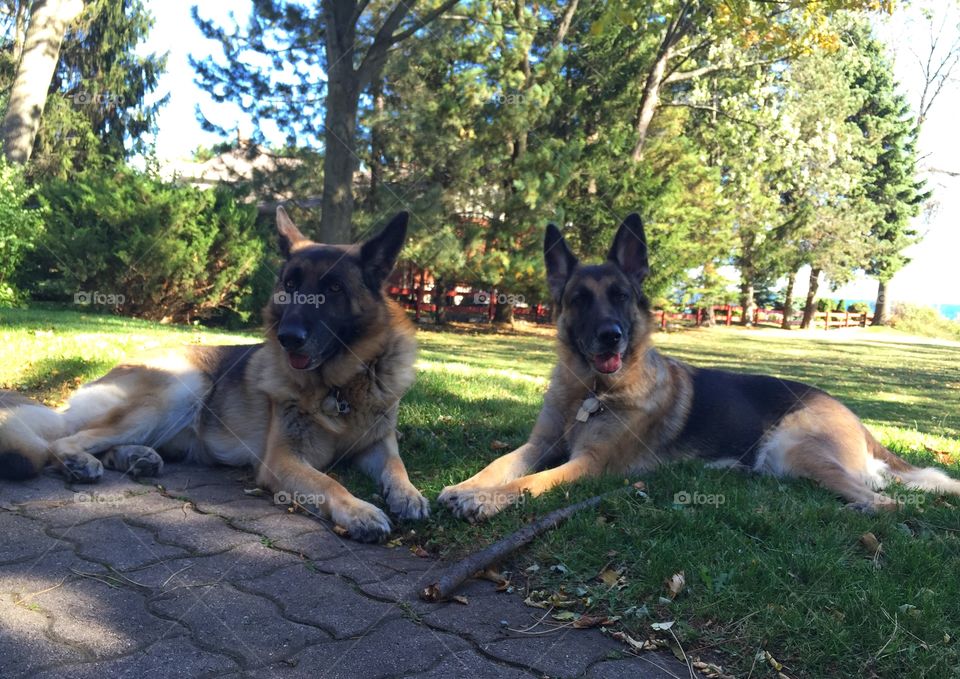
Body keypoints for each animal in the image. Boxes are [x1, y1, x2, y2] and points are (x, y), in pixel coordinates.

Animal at [0, 210, 428, 544]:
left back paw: (136, 457)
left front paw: (408, 495)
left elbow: (397, 466)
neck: (340, 386)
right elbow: (329, 482)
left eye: (334, 288)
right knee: (64, 440)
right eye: (290, 285)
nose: (287, 337)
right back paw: (80, 461)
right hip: (184, 386)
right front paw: (360, 511)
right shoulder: (283, 459)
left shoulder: (378, 442)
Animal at [440, 216, 960, 520]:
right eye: (580, 299)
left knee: (884, 501)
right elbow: (501, 464)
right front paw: (467, 486)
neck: (591, 392)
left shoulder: (589, 464)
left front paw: (484, 500)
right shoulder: (541, 444)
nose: (611, 335)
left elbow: (531, 482)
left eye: (621, 296)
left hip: (797, 449)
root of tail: (854, 416)